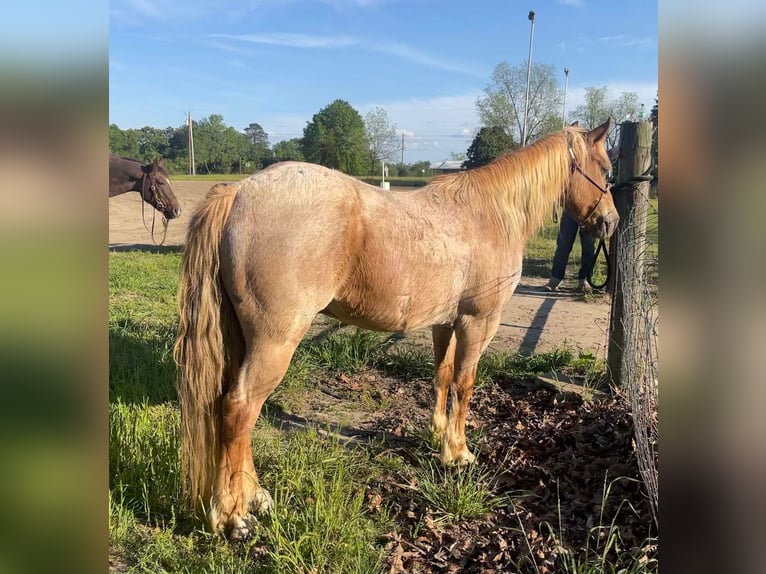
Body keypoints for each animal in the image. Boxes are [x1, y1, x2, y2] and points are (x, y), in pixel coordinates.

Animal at [177, 119, 620, 544]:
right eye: (606, 170)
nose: (610, 222)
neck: (490, 213)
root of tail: (238, 192)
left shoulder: (445, 323)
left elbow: (442, 376)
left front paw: (437, 434)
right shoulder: (478, 322)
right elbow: (465, 384)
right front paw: (458, 453)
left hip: (245, 341)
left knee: (235, 414)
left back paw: (254, 497)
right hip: (275, 342)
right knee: (238, 409)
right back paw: (233, 517)